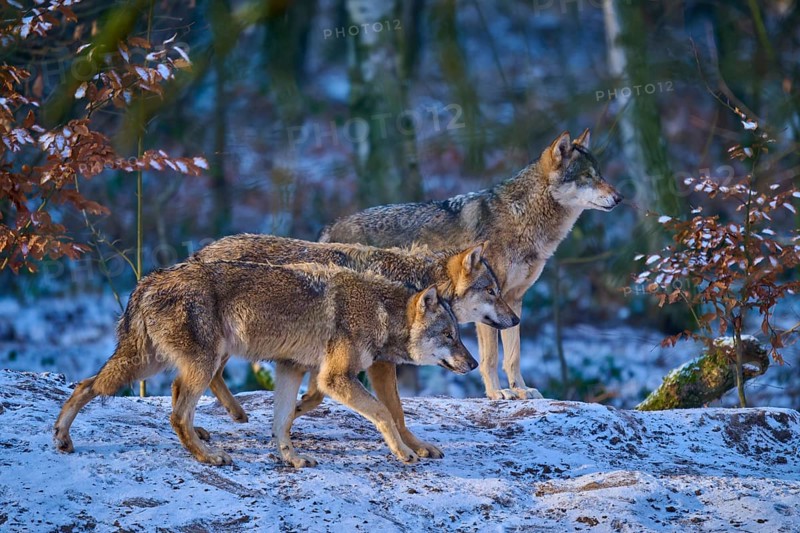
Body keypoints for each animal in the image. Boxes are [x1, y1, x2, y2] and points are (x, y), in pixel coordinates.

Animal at [54, 260, 476, 467]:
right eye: (450, 336)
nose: (472, 363)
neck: (378, 312)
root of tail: (148, 280)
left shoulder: (291, 367)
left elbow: (282, 420)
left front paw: (290, 458)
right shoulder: (335, 378)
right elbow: (385, 413)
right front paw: (404, 453)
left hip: (154, 364)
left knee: (88, 385)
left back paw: (61, 438)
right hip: (191, 363)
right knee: (174, 413)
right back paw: (208, 457)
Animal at [190, 234, 519, 458]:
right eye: (492, 291)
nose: (516, 319)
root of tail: (202, 251)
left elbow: (317, 396)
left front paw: (294, 412)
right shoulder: (379, 364)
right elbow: (395, 411)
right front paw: (414, 446)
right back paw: (223, 418)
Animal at [320, 129, 623, 400]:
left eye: (601, 174)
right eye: (587, 177)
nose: (619, 198)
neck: (523, 220)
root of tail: (330, 227)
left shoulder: (513, 300)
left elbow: (513, 356)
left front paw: (521, 390)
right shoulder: (488, 306)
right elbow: (490, 358)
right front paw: (497, 393)